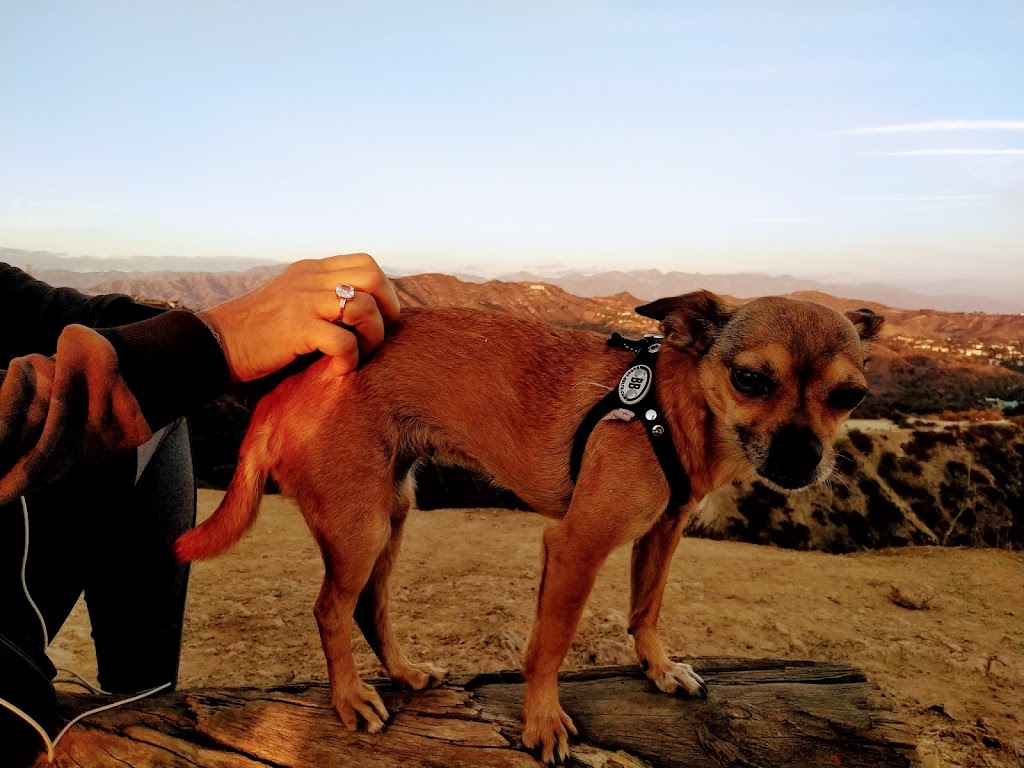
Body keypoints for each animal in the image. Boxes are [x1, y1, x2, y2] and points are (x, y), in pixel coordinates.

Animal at [174, 290, 880, 765]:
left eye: (850, 397)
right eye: (751, 378)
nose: (802, 457)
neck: (675, 408)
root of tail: (284, 387)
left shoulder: (663, 532)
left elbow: (645, 609)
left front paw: (659, 669)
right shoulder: (576, 546)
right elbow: (550, 646)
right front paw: (543, 721)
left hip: (391, 513)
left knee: (369, 608)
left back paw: (404, 674)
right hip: (361, 526)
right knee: (328, 609)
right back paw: (350, 698)